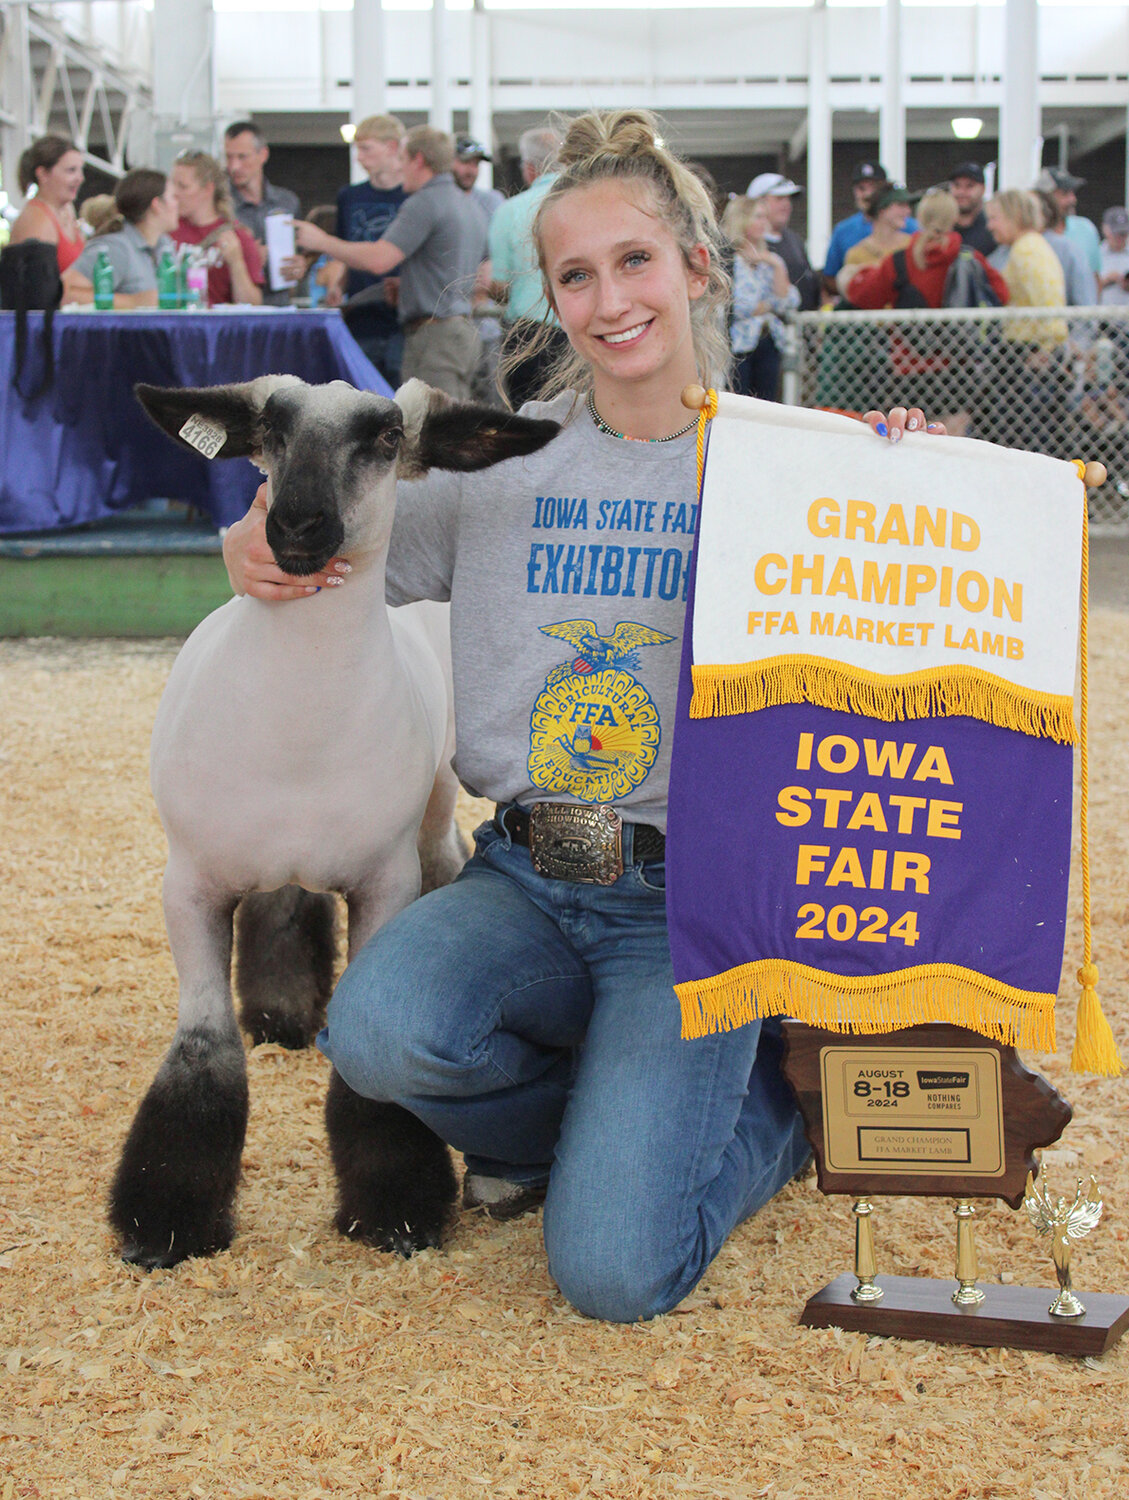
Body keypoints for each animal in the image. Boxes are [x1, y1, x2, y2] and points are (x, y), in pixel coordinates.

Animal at [110, 375, 560, 1266]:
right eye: (271, 430)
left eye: (385, 436)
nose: (295, 526)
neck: (298, 731)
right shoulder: (190, 885)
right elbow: (202, 1049)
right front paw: (165, 1223)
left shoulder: (381, 880)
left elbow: (363, 1061)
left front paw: (395, 1207)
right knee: (285, 899)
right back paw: (282, 1015)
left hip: (426, 815)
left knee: (423, 864)